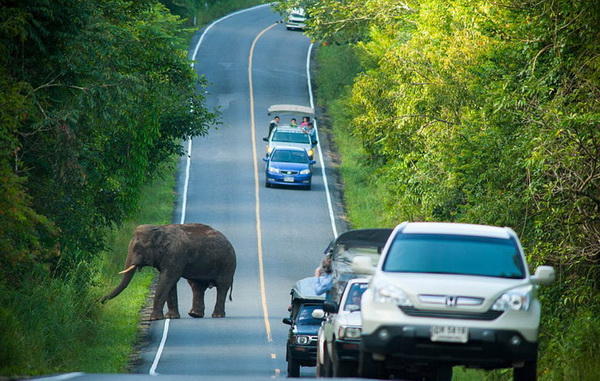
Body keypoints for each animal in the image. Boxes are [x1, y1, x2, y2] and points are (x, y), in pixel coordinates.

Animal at [101, 221, 237, 320]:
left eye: (138, 247)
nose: (100, 300)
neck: (160, 229)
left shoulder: (176, 254)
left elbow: (167, 279)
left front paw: (154, 318)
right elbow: (169, 282)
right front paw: (171, 317)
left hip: (227, 263)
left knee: (222, 286)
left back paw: (217, 315)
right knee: (196, 286)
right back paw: (195, 314)